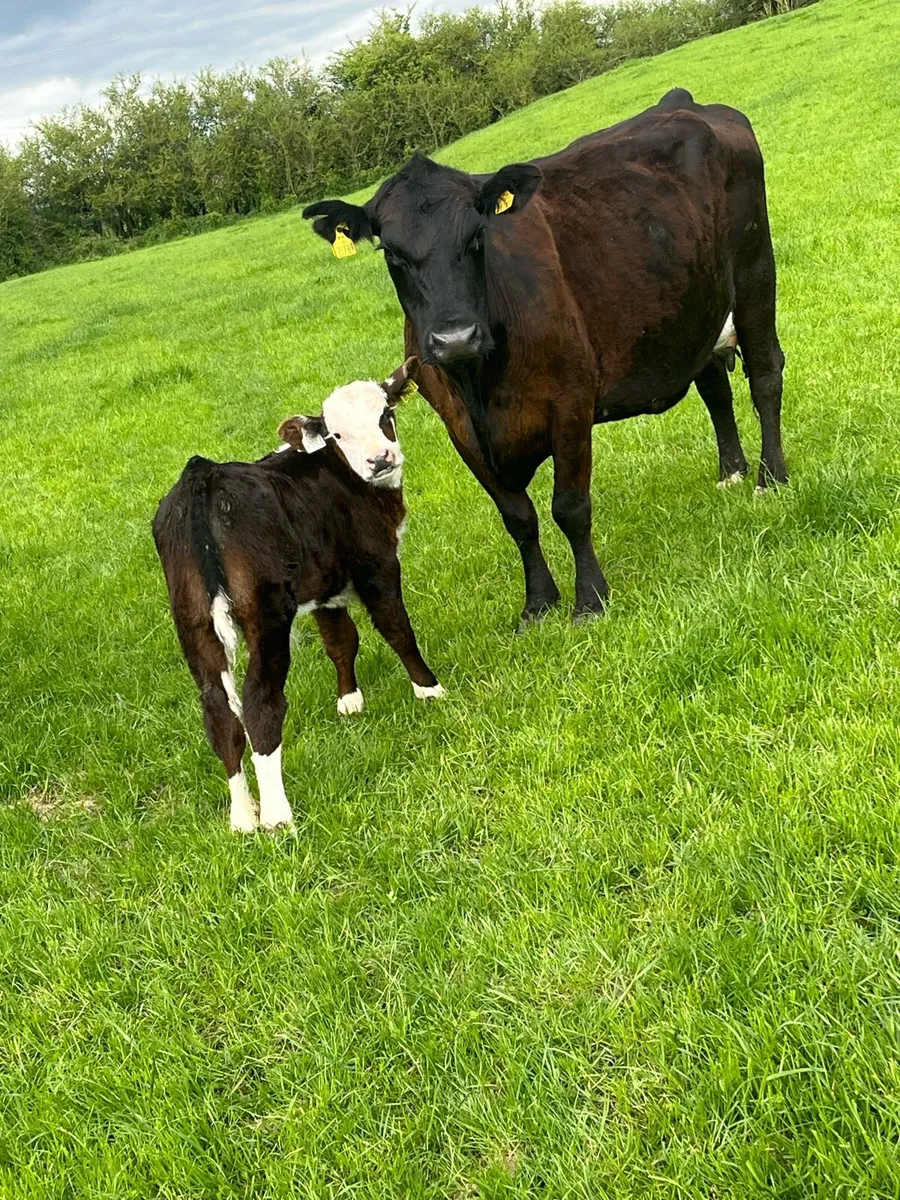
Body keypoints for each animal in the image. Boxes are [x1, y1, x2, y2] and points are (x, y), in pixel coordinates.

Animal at [152, 360, 444, 833]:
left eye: (385, 414)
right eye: (337, 435)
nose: (380, 460)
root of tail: (203, 476)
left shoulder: (326, 584)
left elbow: (341, 640)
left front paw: (349, 701)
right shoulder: (376, 564)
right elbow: (396, 627)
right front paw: (429, 689)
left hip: (191, 617)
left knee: (219, 712)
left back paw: (242, 817)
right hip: (267, 611)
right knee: (259, 702)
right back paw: (276, 816)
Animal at [302, 88, 787, 630]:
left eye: (476, 237)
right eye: (391, 252)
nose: (455, 338)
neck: (480, 383)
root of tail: (687, 102)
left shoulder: (570, 404)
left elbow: (570, 508)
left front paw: (590, 599)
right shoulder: (459, 429)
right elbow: (518, 518)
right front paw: (537, 603)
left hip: (754, 271)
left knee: (765, 375)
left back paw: (771, 477)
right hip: (694, 306)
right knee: (715, 387)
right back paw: (732, 471)